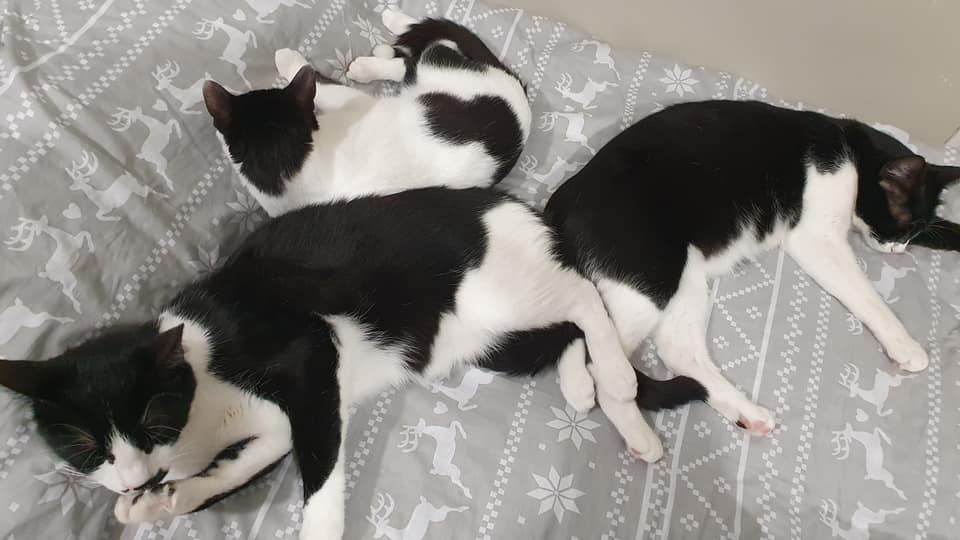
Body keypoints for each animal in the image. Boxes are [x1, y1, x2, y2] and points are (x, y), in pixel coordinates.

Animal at [0, 188, 707, 539]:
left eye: (149, 418)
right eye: (82, 444)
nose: (132, 478)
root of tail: (516, 206)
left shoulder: (311, 357)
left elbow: (314, 464)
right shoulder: (276, 418)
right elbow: (256, 456)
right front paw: (164, 502)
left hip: (499, 294)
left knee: (585, 296)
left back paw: (614, 383)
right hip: (487, 340)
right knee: (563, 329)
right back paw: (599, 396)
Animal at [203, 10, 532, 216]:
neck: (284, 165)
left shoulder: (350, 102)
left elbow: (318, 81)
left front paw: (288, 59)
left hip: (438, 64)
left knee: (433, 46)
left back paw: (385, 38)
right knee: (414, 63)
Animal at [545, 100, 959, 434]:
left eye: (917, 231)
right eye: (901, 222)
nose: (897, 250)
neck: (852, 150)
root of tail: (565, 196)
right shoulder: (816, 240)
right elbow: (867, 296)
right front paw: (905, 344)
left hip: (685, 277)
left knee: (673, 349)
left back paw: (746, 412)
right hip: (650, 274)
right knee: (602, 360)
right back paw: (640, 437)